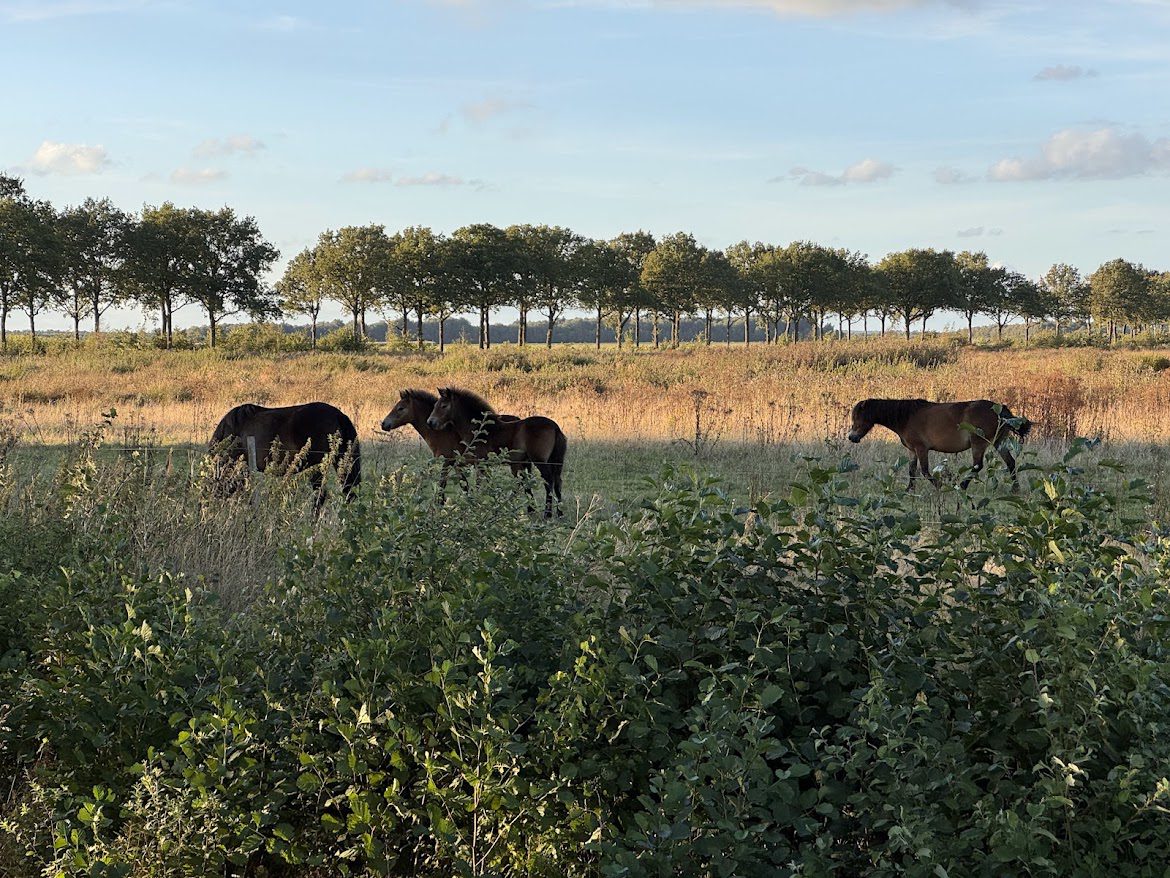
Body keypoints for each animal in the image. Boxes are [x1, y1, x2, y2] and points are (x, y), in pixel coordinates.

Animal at [425, 387, 567, 517]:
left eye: (443, 406)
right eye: (435, 405)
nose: (430, 422)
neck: (481, 429)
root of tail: (555, 427)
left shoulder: (480, 463)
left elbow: (479, 484)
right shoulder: (486, 464)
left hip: (540, 461)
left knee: (549, 481)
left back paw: (547, 514)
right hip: (554, 461)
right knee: (558, 482)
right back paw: (560, 513)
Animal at [847, 398, 1031, 491]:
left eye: (857, 417)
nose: (852, 437)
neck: (907, 417)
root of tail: (1000, 410)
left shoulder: (921, 449)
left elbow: (924, 471)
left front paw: (940, 486)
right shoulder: (912, 450)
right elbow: (912, 470)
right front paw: (909, 490)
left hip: (978, 443)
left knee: (977, 466)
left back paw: (961, 486)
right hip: (999, 442)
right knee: (1010, 462)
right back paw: (1015, 489)